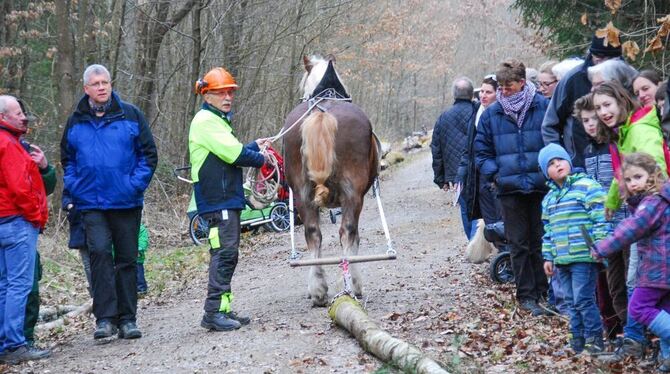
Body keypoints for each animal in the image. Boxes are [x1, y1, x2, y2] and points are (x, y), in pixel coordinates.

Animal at [282, 55, 380, 306]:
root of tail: (321, 113)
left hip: (303, 193)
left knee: (313, 233)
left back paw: (318, 290)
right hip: (353, 193)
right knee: (348, 232)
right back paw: (350, 284)